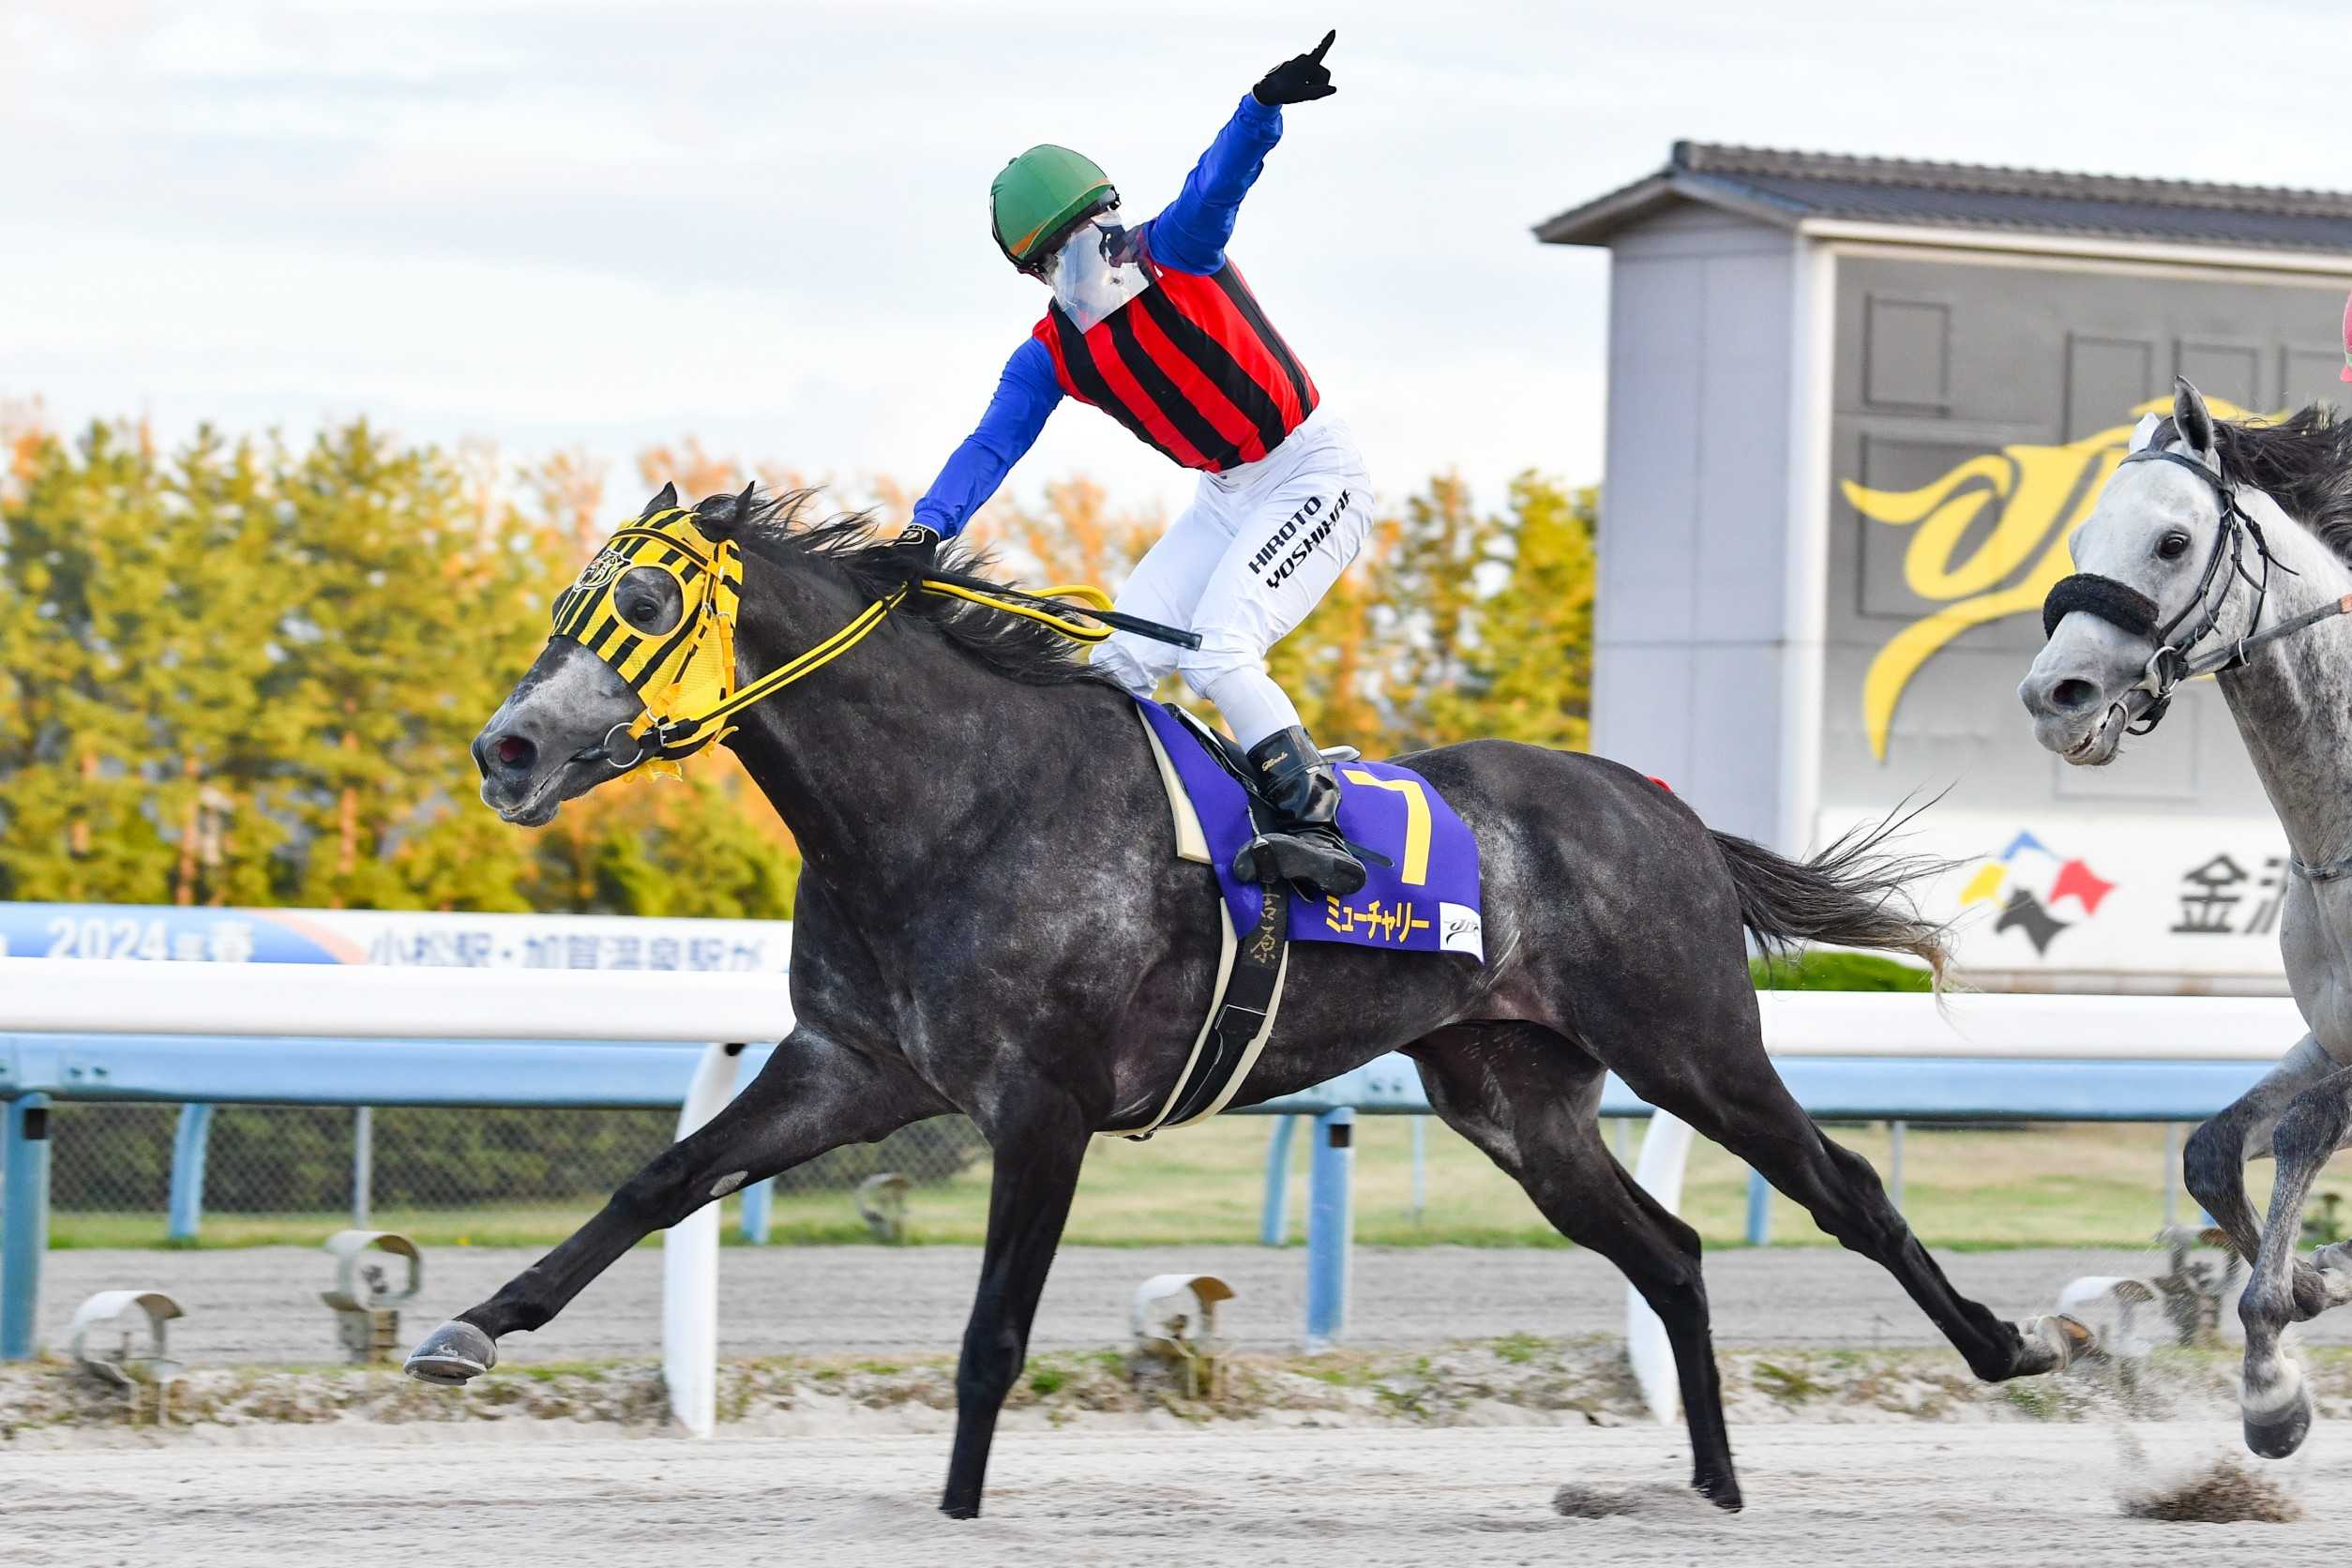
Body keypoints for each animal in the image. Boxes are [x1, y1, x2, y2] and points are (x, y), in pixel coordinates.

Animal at [407, 483, 2081, 1518]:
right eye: (568, 596)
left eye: (636, 600)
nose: (506, 749)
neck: (950, 801)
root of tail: (1662, 808)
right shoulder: (851, 1064)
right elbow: (661, 1181)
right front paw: (471, 1329)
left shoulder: (1045, 1106)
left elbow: (992, 1334)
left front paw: (956, 1510)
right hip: (1514, 1096)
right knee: (1666, 1250)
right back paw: (1713, 1487)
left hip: (1690, 1045)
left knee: (1847, 1189)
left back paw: (2008, 1349)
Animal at [2022, 377, 2352, 1459]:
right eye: (2082, 537)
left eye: (2171, 541)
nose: (2054, 695)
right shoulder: (2327, 1032)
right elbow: (2211, 1151)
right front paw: (2310, 1284)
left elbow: (2301, 1130)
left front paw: (2273, 1382)